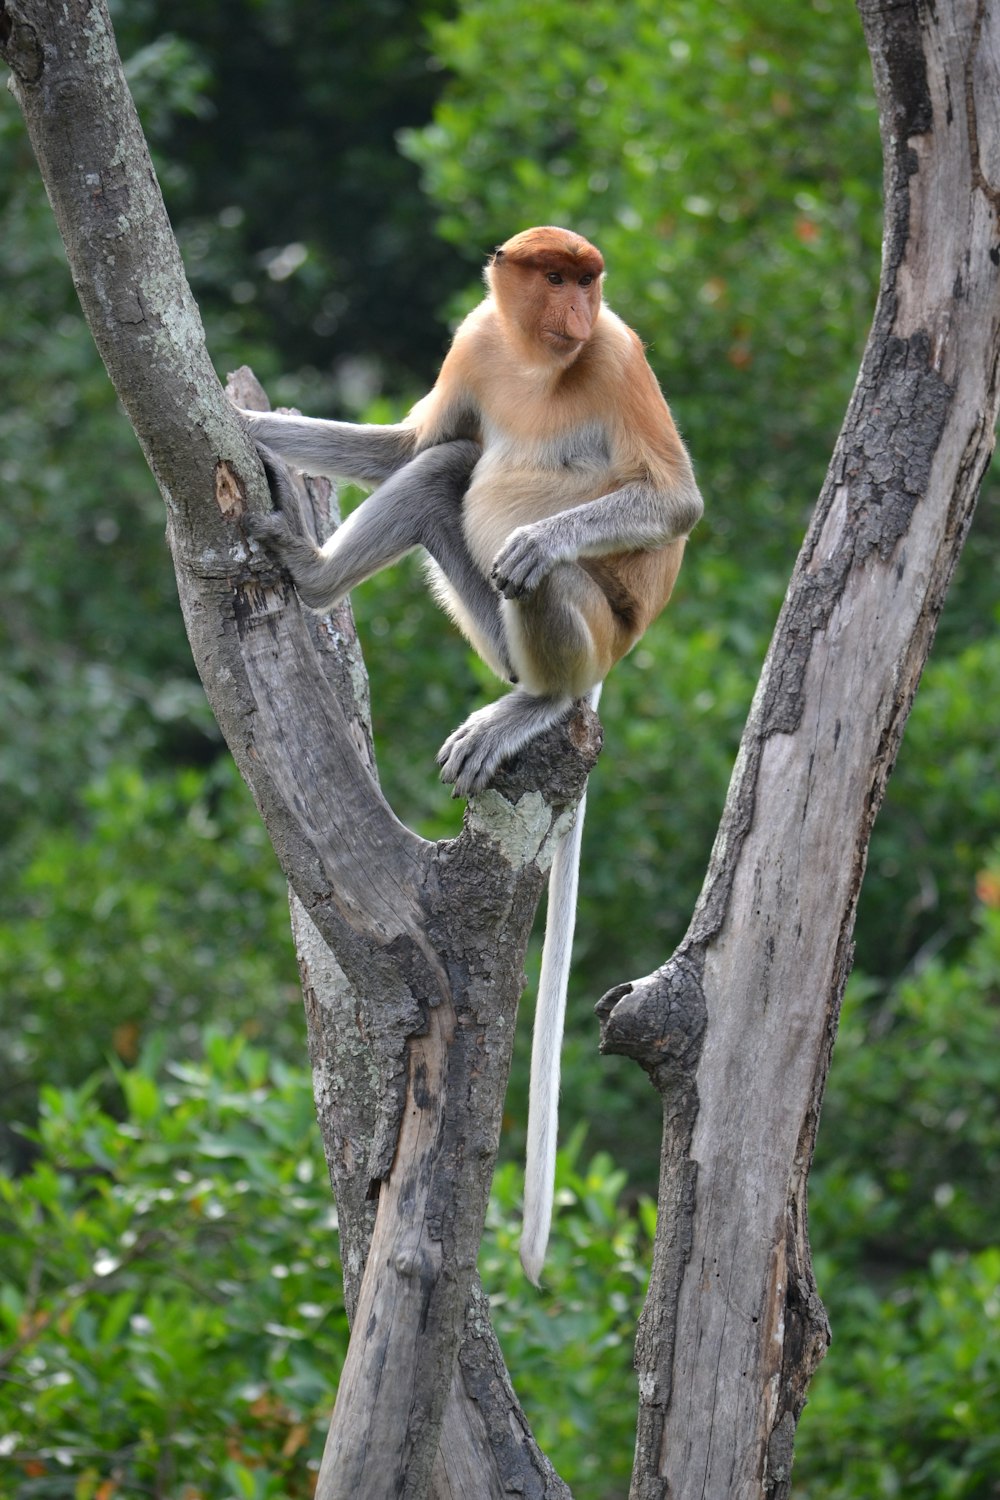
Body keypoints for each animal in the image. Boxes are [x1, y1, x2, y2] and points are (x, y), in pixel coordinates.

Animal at [238, 228, 704, 1284]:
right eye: (554, 278)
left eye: (589, 286)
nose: (575, 310)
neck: (539, 359)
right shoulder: (476, 340)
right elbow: (415, 447)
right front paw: (253, 422)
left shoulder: (617, 355)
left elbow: (674, 501)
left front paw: (541, 535)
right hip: (485, 625)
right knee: (444, 468)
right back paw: (314, 577)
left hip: (589, 630)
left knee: (541, 576)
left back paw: (536, 698)